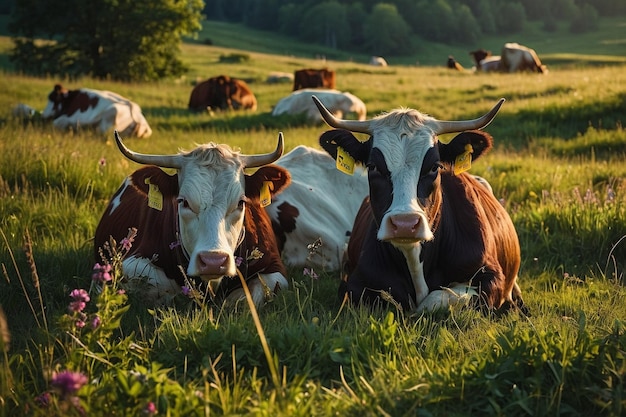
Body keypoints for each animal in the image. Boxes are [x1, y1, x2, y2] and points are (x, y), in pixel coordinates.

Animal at [310, 96, 524, 314]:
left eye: (435, 167)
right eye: (372, 166)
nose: (405, 224)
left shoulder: (492, 277)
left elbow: (435, 299)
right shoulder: (355, 284)